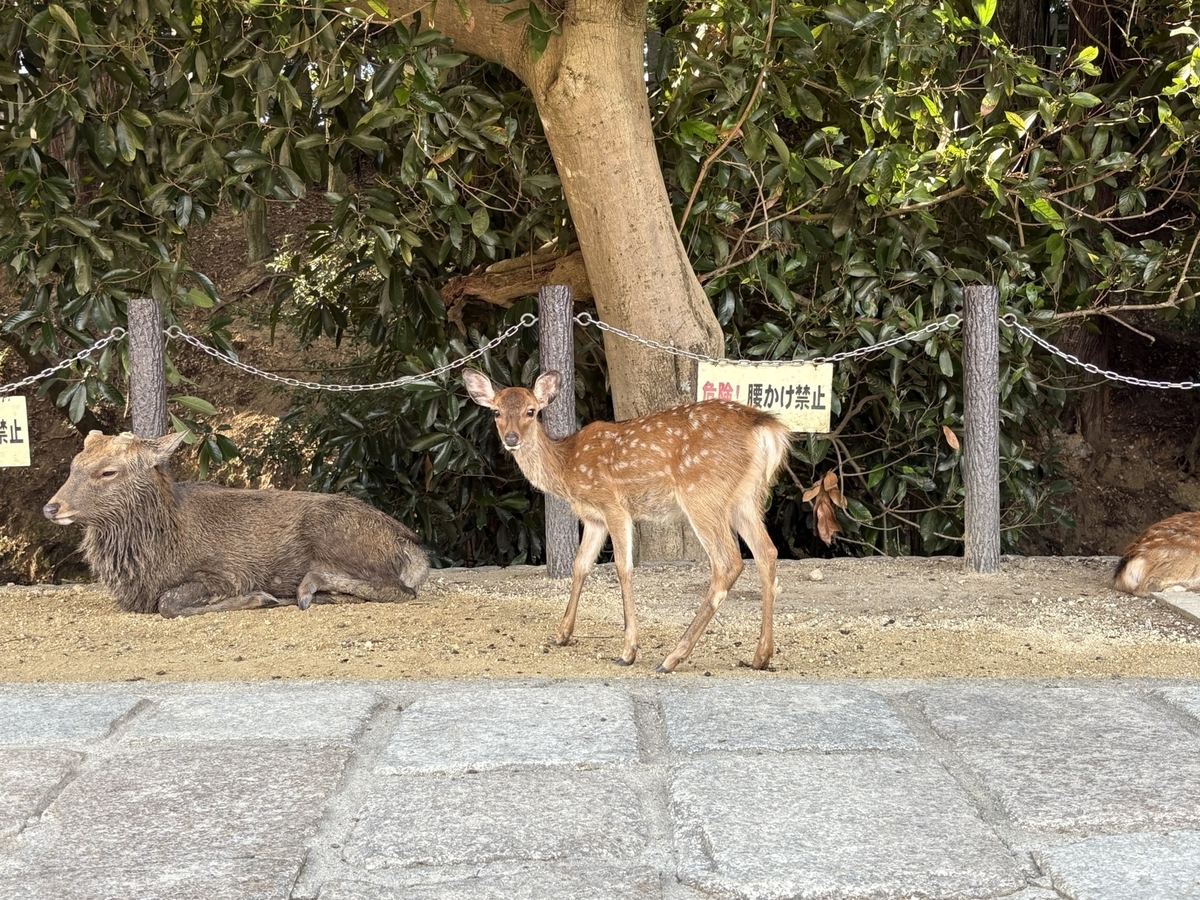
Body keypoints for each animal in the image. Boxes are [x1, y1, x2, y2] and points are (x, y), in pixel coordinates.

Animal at [463, 368, 793, 673]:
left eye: (531, 411)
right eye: (496, 412)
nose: (512, 438)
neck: (566, 467)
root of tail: (767, 429)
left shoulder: (614, 505)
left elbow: (623, 568)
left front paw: (628, 651)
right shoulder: (594, 518)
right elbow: (580, 565)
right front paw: (562, 634)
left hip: (702, 493)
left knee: (729, 562)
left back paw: (672, 658)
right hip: (745, 499)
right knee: (767, 552)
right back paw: (761, 656)